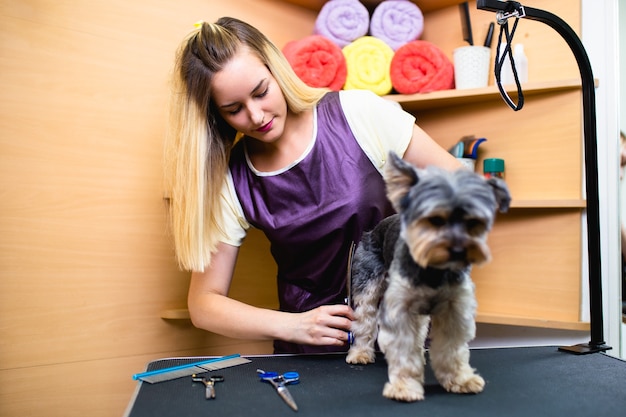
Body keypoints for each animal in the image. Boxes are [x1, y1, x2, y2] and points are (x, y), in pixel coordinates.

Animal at [344, 151, 510, 402]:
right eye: (435, 219)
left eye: (473, 222)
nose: (459, 250)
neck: (434, 268)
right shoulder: (400, 309)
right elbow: (403, 347)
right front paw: (404, 386)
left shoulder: (455, 308)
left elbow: (452, 348)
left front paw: (460, 379)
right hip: (367, 278)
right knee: (365, 318)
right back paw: (360, 353)